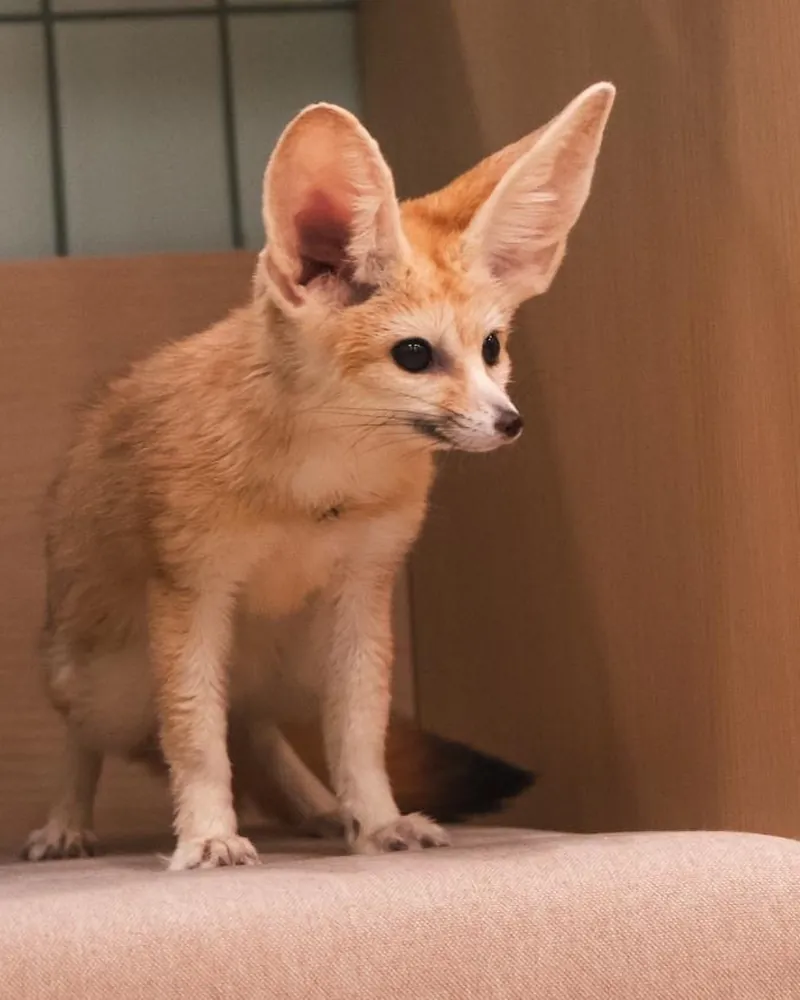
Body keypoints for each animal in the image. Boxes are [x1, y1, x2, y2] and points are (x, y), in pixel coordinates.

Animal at [23, 82, 615, 871]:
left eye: (492, 347)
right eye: (415, 354)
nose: (510, 421)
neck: (316, 492)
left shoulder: (360, 594)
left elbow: (357, 734)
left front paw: (379, 820)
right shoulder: (191, 592)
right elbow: (193, 737)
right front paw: (207, 833)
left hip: (285, 668)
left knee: (255, 728)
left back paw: (321, 809)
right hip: (106, 680)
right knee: (90, 740)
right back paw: (66, 824)